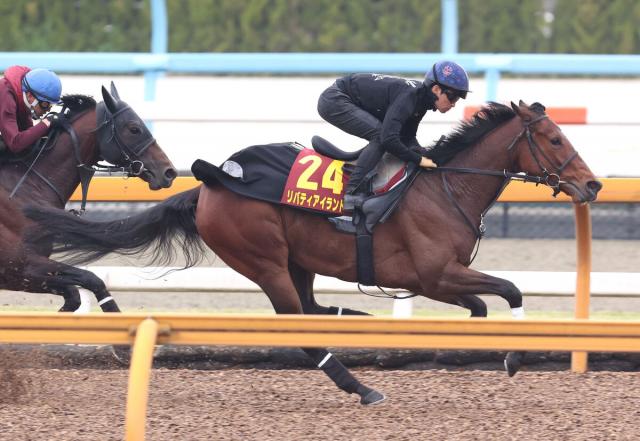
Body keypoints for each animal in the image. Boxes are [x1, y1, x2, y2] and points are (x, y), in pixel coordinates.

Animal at [1, 82, 176, 312]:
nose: (169, 172)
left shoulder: (26, 273)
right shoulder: (19, 266)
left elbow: (76, 293)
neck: (27, 187)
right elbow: (91, 279)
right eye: (134, 128)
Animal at [23, 100, 600, 406]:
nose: (592, 185)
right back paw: (361, 386)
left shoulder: (442, 280)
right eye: (553, 139)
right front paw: (514, 356)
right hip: (266, 262)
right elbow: (510, 290)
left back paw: (354, 319)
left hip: (297, 262)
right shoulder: (436, 275)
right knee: (299, 326)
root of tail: (208, 184)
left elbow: (484, 304)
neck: (447, 189)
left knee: (311, 309)